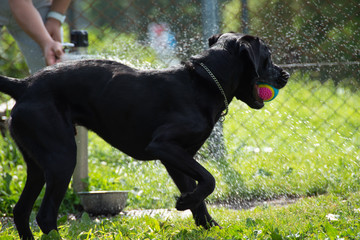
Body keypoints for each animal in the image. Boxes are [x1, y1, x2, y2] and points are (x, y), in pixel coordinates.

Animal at [0, 33, 288, 238]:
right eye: (268, 56)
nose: (286, 75)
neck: (203, 82)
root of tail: (24, 85)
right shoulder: (163, 146)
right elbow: (209, 179)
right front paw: (184, 203)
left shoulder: (176, 159)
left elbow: (200, 197)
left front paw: (207, 223)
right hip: (62, 158)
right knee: (45, 216)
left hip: (38, 165)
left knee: (21, 211)